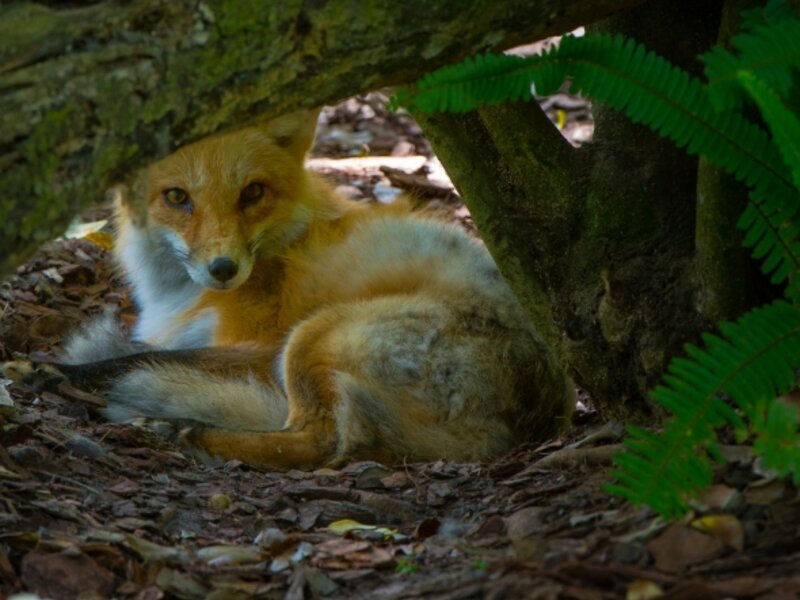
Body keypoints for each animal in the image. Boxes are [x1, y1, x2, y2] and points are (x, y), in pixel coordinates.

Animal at [5, 109, 574, 469]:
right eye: (177, 198)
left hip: (311, 338)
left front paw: (59, 373)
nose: (223, 268)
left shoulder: (258, 347)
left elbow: (133, 359)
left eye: (252, 193)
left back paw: (186, 429)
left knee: (325, 442)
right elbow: (145, 351)